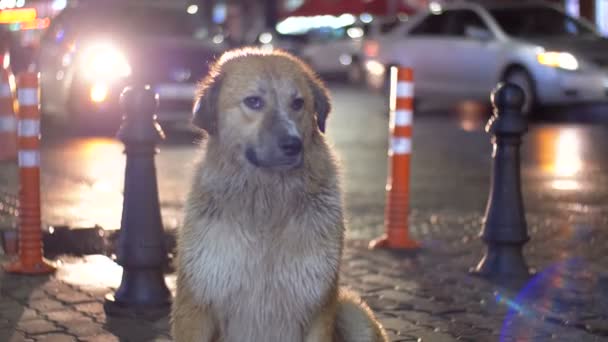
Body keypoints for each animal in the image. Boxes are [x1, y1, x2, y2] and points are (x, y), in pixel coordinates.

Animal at [171, 48, 390, 342]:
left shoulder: (317, 308)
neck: (267, 203)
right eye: (253, 102)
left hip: (353, 312)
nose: (292, 144)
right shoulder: (196, 307)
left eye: (298, 103)